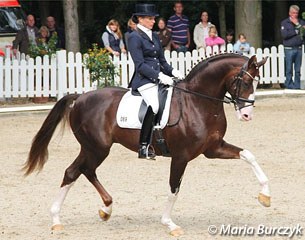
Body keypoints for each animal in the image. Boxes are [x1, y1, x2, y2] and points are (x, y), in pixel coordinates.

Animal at [24, 53, 270, 236]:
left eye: (257, 82)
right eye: (245, 82)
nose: (247, 115)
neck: (197, 101)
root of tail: (79, 98)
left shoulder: (213, 149)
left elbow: (249, 155)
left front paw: (265, 196)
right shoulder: (181, 156)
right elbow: (174, 188)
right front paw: (169, 224)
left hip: (94, 149)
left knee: (82, 171)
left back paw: (104, 209)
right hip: (96, 148)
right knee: (76, 171)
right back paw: (58, 219)